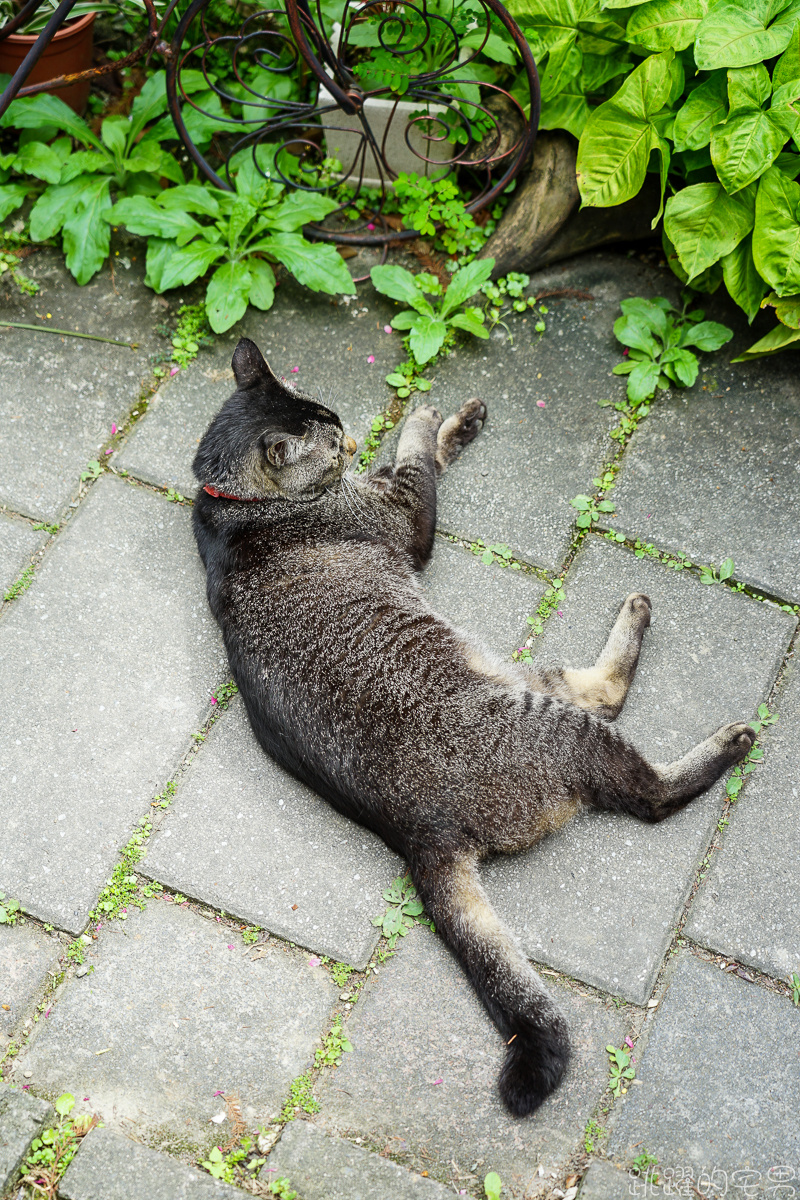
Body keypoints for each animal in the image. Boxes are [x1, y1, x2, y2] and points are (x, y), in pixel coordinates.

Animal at [194, 336, 758, 1113]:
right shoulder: (404, 511)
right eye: (329, 438)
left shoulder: (388, 493)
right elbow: (415, 458)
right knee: (643, 775)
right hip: (557, 724)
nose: (349, 435)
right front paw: (426, 417)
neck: (235, 510)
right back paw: (713, 719)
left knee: (598, 693)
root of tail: (419, 836)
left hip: (524, 677)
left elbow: (423, 453)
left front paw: (453, 417)